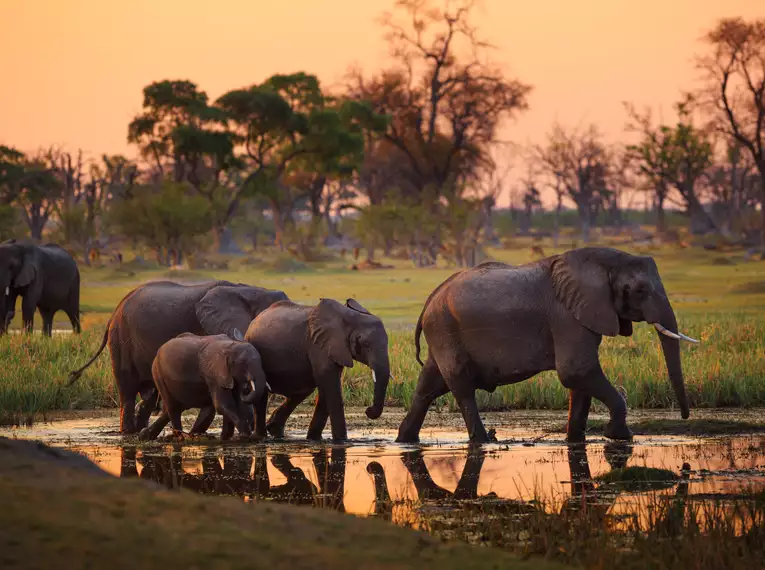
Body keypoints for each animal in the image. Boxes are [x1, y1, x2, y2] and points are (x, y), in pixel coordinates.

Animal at [138, 328, 268, 440]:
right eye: (243, 363)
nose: (247, 389)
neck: (230, 345)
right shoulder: (213, 374)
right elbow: (223, 404)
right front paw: (245, 436)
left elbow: (235, 402)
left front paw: (226, 438)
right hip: (158, 373)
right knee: (173, 408)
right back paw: (180, 436)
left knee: (190, 407)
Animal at [245, 296, 390, 442]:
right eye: (365, 343)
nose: (368, 410)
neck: (349, 317)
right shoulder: (318, 345)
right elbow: (330, 385)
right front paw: (341, 441)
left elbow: (327, 386)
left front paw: (314, 439)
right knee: (262, 393)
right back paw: (260, 437)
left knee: (303, 390)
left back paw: (275, 431)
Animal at [396, 247, 700, 444]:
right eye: (640, 290)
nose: (685, 417)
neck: (605, 263)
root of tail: (430, 299)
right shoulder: (566, 316)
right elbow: (576, 370)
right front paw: (620, 436)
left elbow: (580, 380)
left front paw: (575, 440)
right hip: (445, 330)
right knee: (462, 387)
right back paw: (484, 441)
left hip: (442, 334)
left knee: (428, 386)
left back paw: (405, 440)